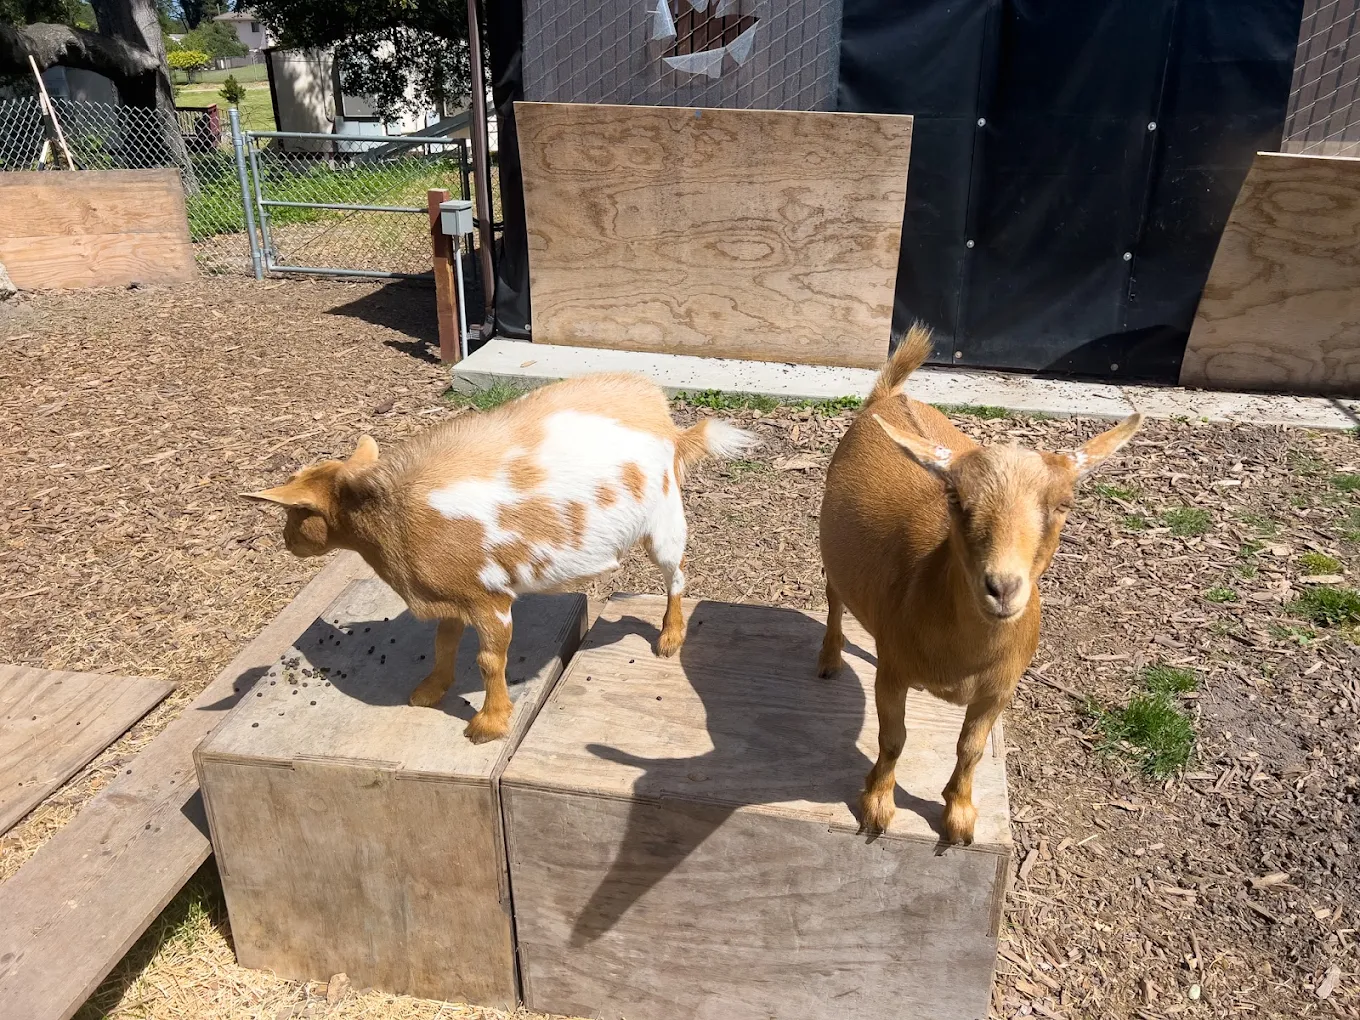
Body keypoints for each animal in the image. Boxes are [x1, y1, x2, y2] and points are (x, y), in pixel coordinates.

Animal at [244, 374, 756, 743]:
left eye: (298, 511)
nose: (288, 541)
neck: (393, 515)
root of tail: (667, 421)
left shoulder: (488, 598)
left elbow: (491, 660)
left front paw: (488, 725)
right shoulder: (450, 596)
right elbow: (444, 642)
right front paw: (430, 690)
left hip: (665, 519)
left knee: (676, 575)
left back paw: (670, 637)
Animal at [817, 326, 1141, 843]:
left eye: (1064, 503)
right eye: (954, 497)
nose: (1002, 588)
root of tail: (890, 396)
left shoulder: (999, 690)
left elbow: (970, 748)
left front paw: (959, 817)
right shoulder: (894, 673)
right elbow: (892, 739)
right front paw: (877, 806)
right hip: (831, 551)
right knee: (833, 598)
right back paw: (829, 659)